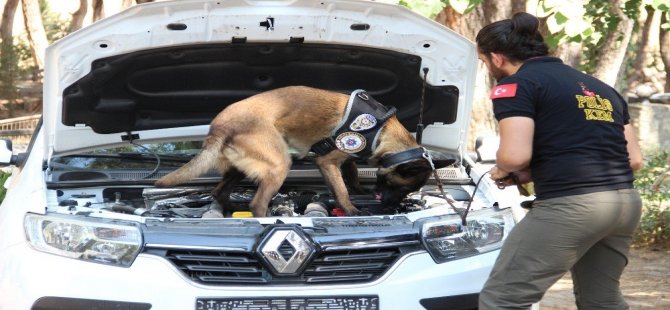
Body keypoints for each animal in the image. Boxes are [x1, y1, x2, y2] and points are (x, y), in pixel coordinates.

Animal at [155, 84, 454, 216]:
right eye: (401, 187)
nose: (392, 207)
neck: (383, 131)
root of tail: (219, 125)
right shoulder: (328, 162)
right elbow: (341, 191)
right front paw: (352, 209)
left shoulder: (346, 157)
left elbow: (352, 173)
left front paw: (359, 188)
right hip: (278, 165)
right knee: (257, 203)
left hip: (242, 168)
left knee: (219, 192)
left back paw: (232, 209)